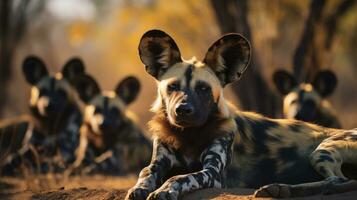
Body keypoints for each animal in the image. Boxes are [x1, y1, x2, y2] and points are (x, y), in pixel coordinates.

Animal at [126, 28, 356, 199]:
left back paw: (282, 189)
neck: (188, 135)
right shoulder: (158, 162)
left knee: (338, 180)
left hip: (321, 152)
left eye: (203, 89)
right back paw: (280, 189)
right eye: (172, 87)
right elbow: (145, 173)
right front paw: (139, 188)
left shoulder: (213, 174)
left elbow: (180, 177)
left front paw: (166, 189)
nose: (183, 110)